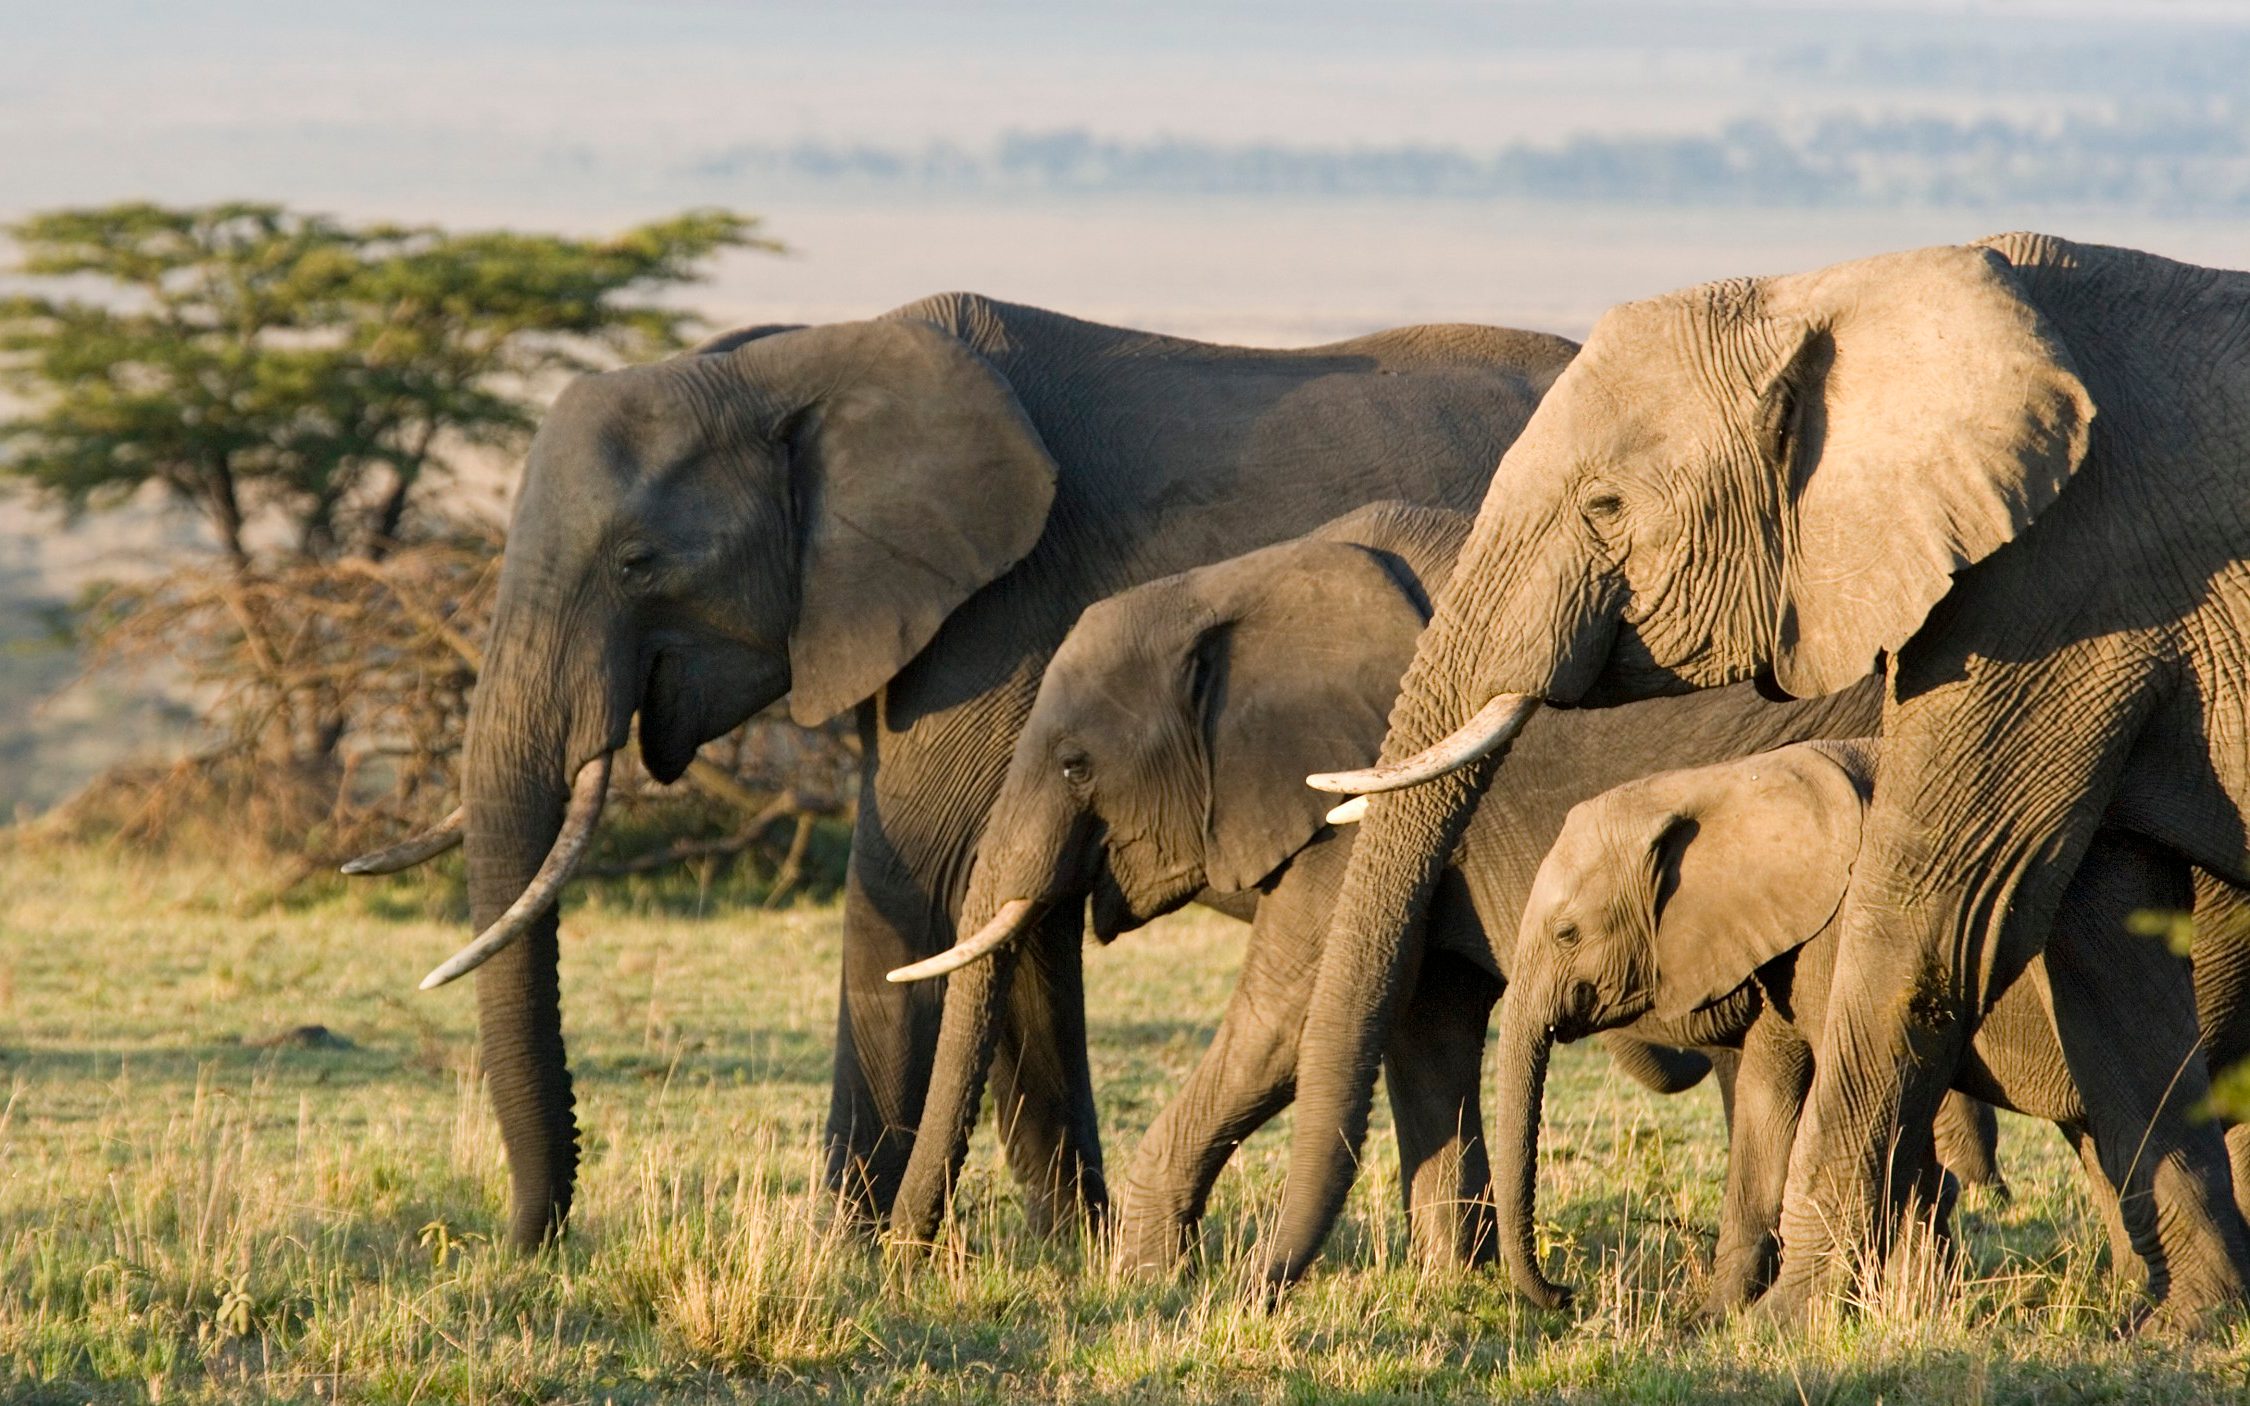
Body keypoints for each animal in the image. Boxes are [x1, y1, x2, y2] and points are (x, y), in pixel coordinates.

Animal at [341, 294, 1581, 1250]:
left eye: (640, 562)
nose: (527, 1242)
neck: (798, 363)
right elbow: (1011, 921)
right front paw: (1065, 1252)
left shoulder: (994, 615)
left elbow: (920, 884)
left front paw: (841, 1256)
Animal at [882, 501, 2004, 1267]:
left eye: (1076, 766)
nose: (908, 1256)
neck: (1244, 584)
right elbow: (1425, 1026)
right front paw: (1451, 1282)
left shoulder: (1355, 804)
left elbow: (1290, 1021)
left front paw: (1146, 1278)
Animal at [1494, 739, 2250, 1319]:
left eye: (1567, 934)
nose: (1566, 1295)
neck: (1724, 782)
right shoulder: (1786, 940)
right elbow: (1769, 1097)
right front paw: (1712, 1320)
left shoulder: (1842, 928)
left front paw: (1908, 1310)